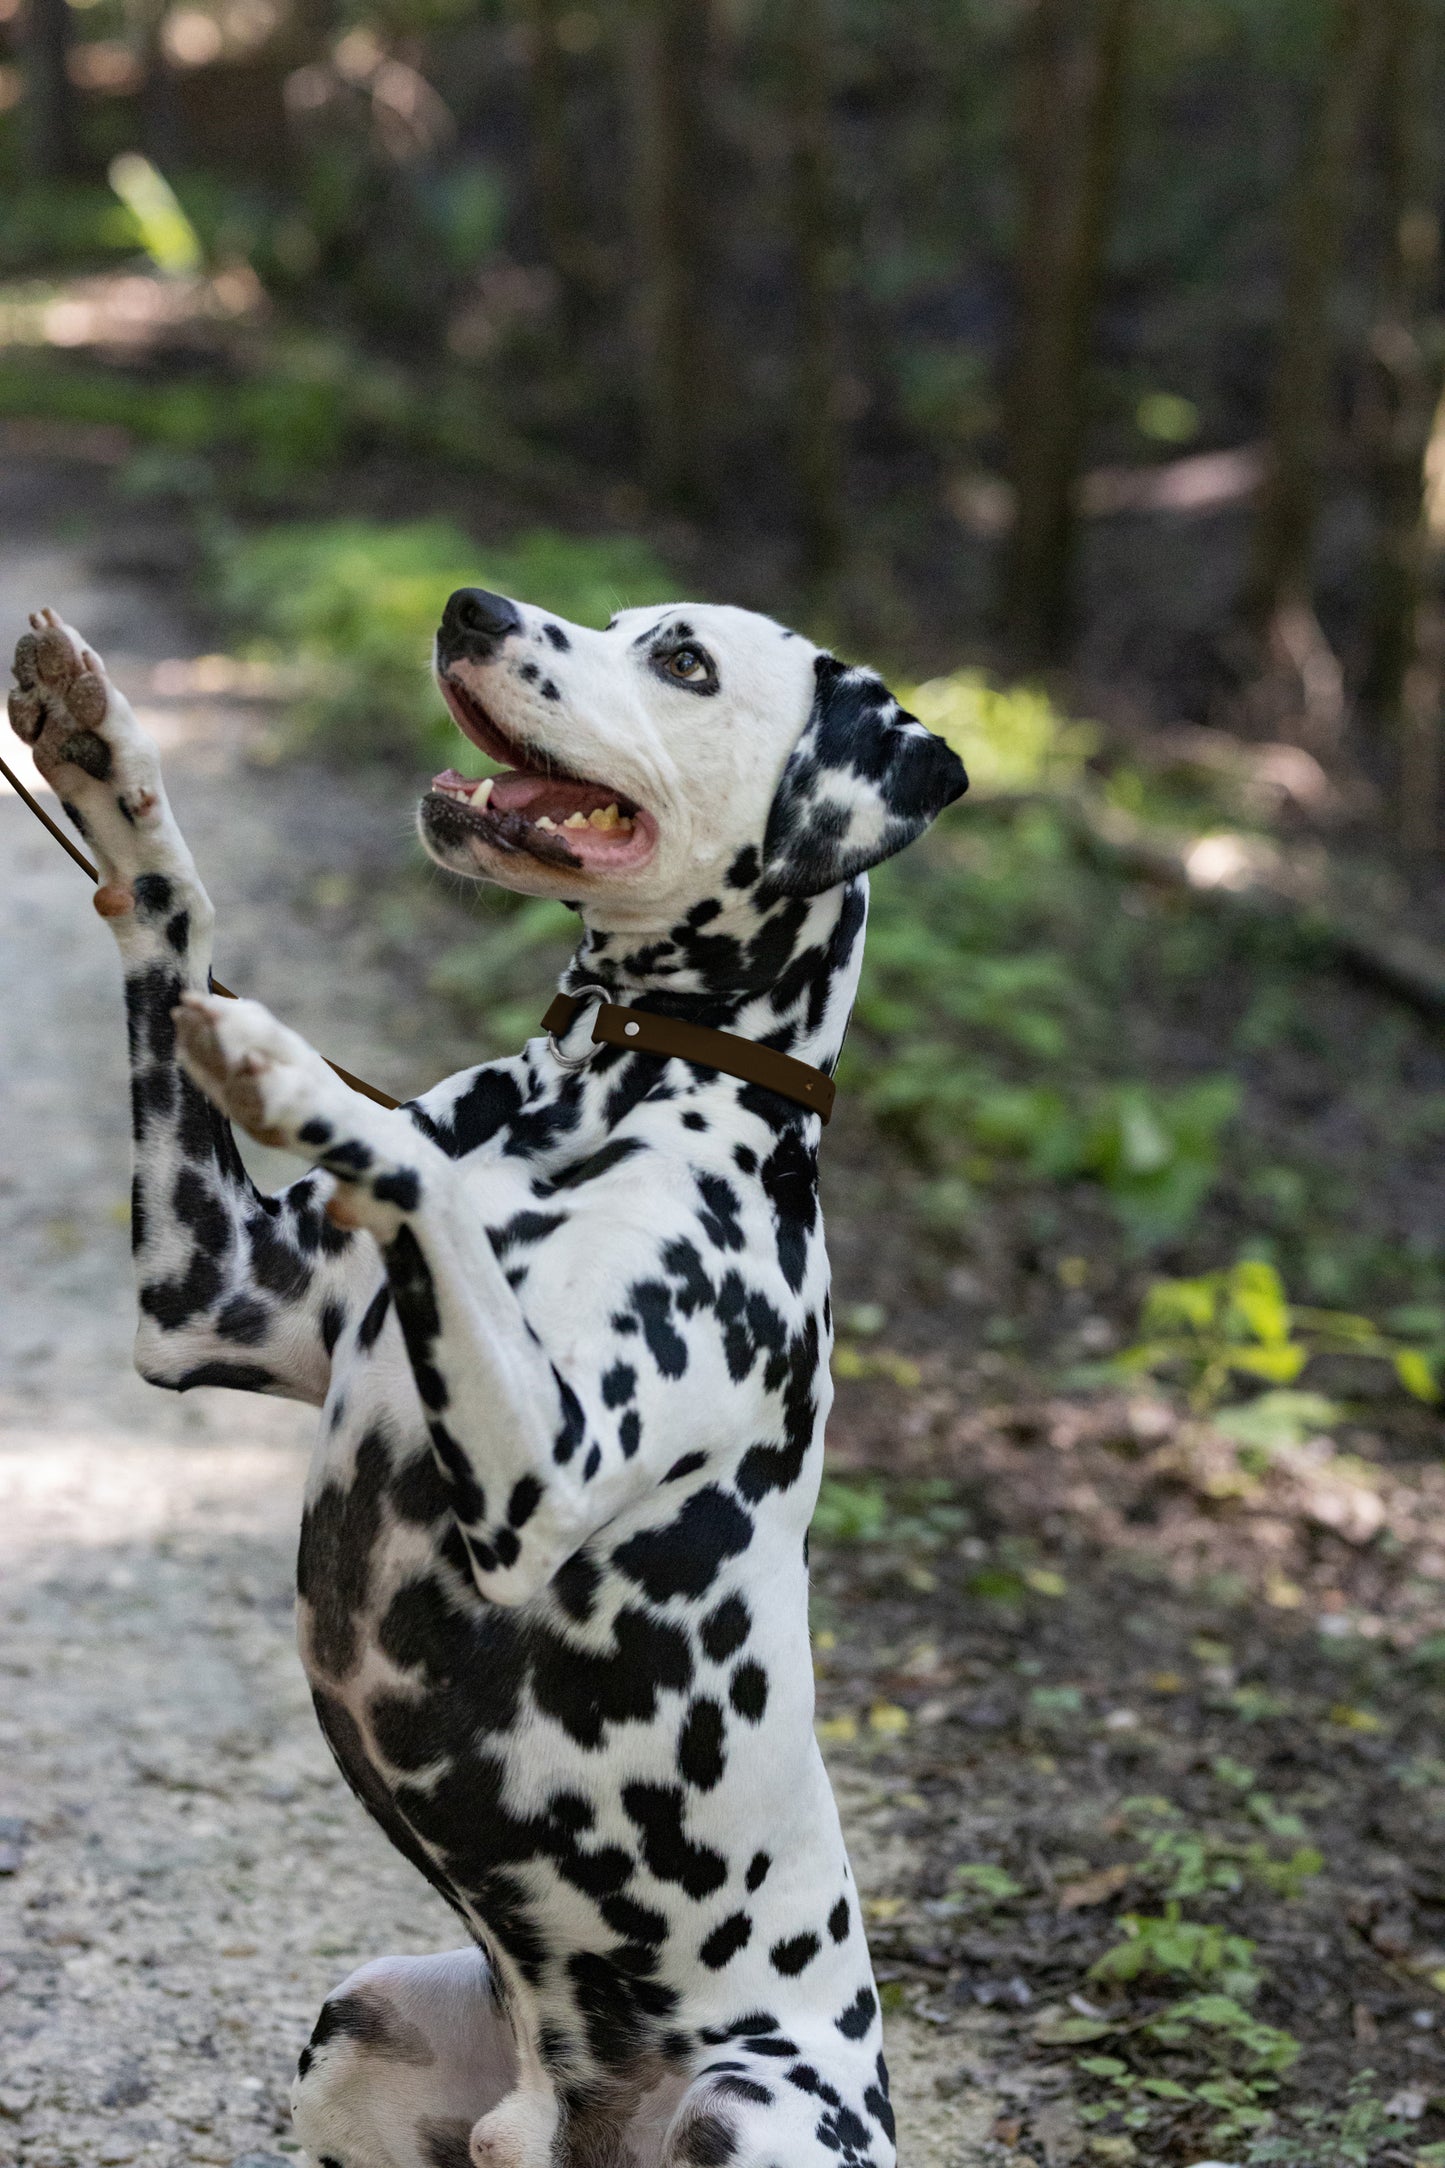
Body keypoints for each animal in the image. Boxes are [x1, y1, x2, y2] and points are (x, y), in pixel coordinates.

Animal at [11, 585, 966, 2168]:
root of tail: (559, 2118)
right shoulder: (204, 1294)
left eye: (681, 658)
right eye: (620, 615)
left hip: (750, 2107)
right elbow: (170, 913)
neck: (609, 1090)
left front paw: (298, 1076)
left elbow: (419, 1180)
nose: (471, 604)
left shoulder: (542, 1476)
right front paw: (104, 755)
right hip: (357, 2023)